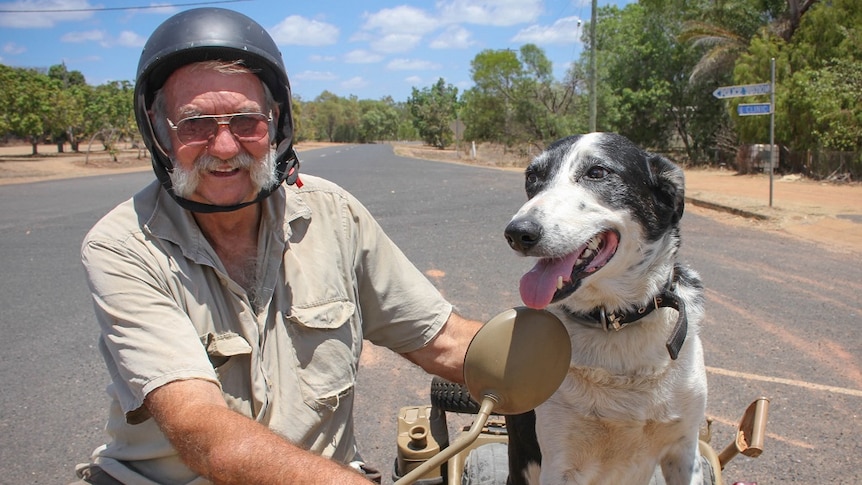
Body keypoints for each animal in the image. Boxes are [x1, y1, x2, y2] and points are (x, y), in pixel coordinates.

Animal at [506, 132, 708, 484]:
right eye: (532, 177)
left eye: (597, 172)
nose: (517, 233)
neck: (614, 321)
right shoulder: (560, 463)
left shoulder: (685, 450)